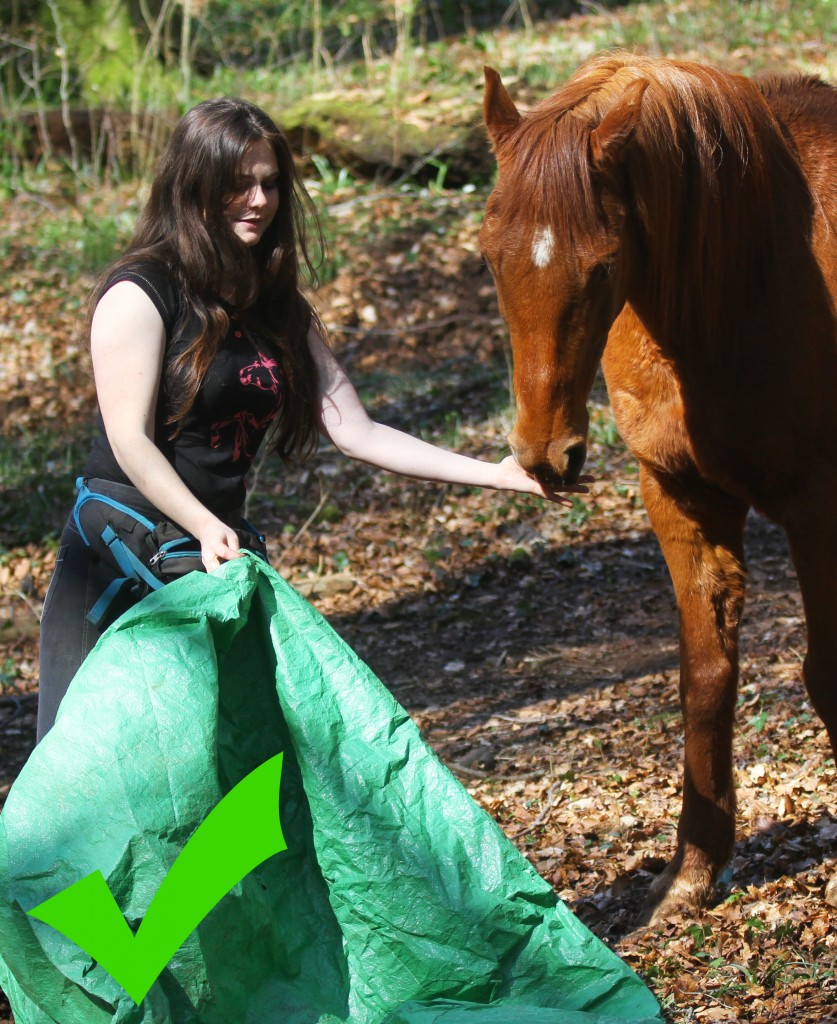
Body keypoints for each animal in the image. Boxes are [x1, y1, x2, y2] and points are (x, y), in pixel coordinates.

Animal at [477, 51, 835, 921]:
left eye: (604, 265)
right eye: (491, 256)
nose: (543, 456)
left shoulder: (818, 506)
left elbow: (826, 673)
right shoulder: (678, 497)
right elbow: (703, 680)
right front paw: (691, 873)